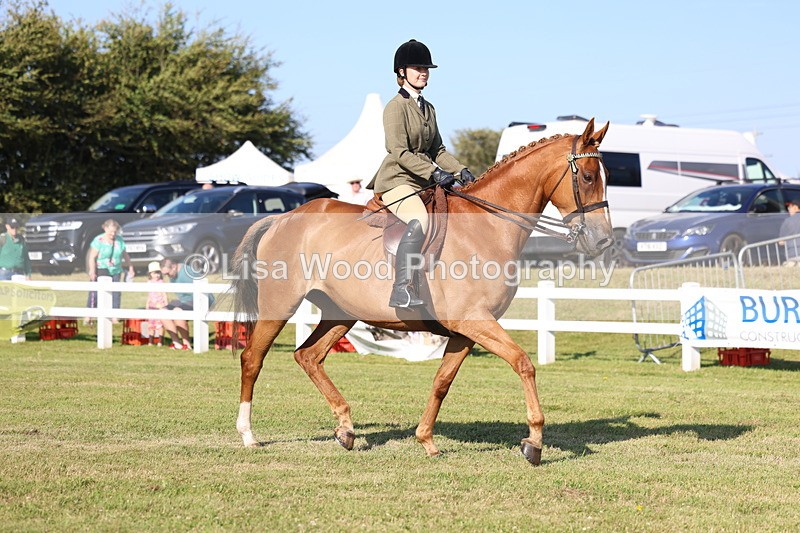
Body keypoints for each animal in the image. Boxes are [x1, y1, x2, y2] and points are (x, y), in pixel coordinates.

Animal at [230, 118, 612, 466]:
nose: (603, 241)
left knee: (308, 356)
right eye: (588, 177)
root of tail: (283, 218)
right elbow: (523, 363)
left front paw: (426, 440)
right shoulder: (474, 321)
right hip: (280, 304)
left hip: (341, 313)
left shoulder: (466, 330)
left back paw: (346, 429)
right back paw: (248, 435)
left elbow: (442, 381)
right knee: (252, 358)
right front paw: (533, 441)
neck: (487, 227)